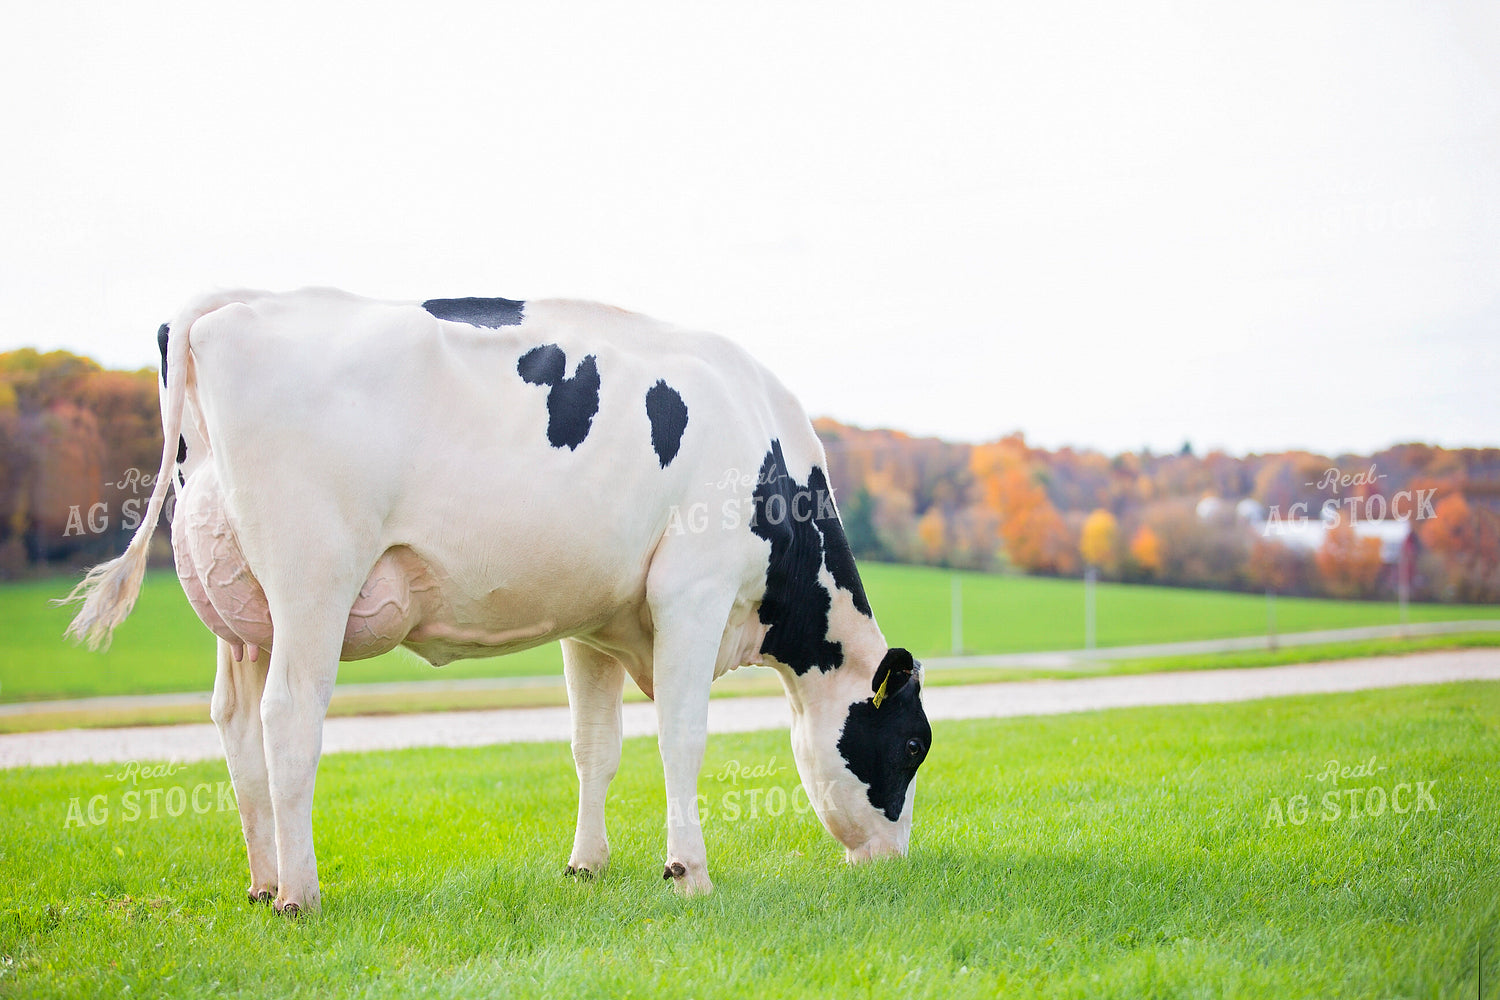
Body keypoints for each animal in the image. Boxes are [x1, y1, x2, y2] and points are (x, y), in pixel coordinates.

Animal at [63, 288, 932, 914]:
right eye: (913, 744)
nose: (895, 862)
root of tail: (231, 305)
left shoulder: (596, 622)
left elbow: (595, 747)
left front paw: (587, 865)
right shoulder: (693, 591)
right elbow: (680, 741)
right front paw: (688, 871)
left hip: (244, 615)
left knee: (237, 727)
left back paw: (262, 880)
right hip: (313, 579)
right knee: (289, 721)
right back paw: (299, 895)